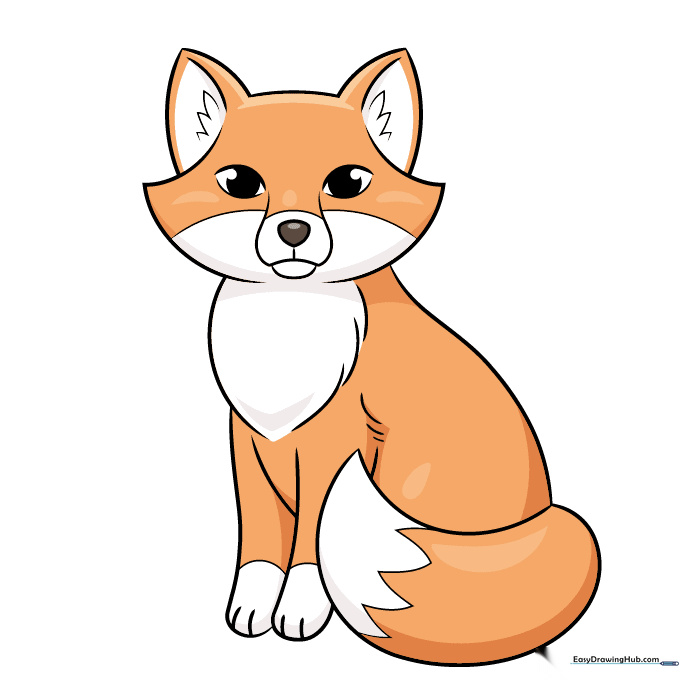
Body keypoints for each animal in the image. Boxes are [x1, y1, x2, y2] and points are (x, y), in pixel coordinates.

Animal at [143, 48, 600, 666]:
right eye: (240, 183)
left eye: (347, 182)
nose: (294, 229)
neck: (285, 335)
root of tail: (539, 519)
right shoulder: (249, 438)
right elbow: (260, 540)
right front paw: (253, 604)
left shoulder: (334, 443)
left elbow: (308, 542)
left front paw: (300, 608)